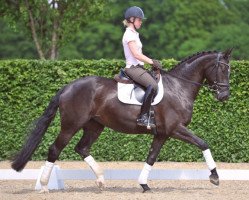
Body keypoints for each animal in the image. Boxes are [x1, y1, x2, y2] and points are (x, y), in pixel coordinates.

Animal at [10, 48, 232, 192]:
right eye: (222, 69)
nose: (224, 96)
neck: (179, 88)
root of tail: (67, 87)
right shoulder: (175, 128)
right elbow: (203, 143)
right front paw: (215, 177)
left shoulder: (162, 134)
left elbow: (151, 157)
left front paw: (144, 184)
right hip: (71, 125)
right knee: (55, 149)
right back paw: (44, 186)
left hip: (95, 126)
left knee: (82, 148)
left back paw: (101, 180)